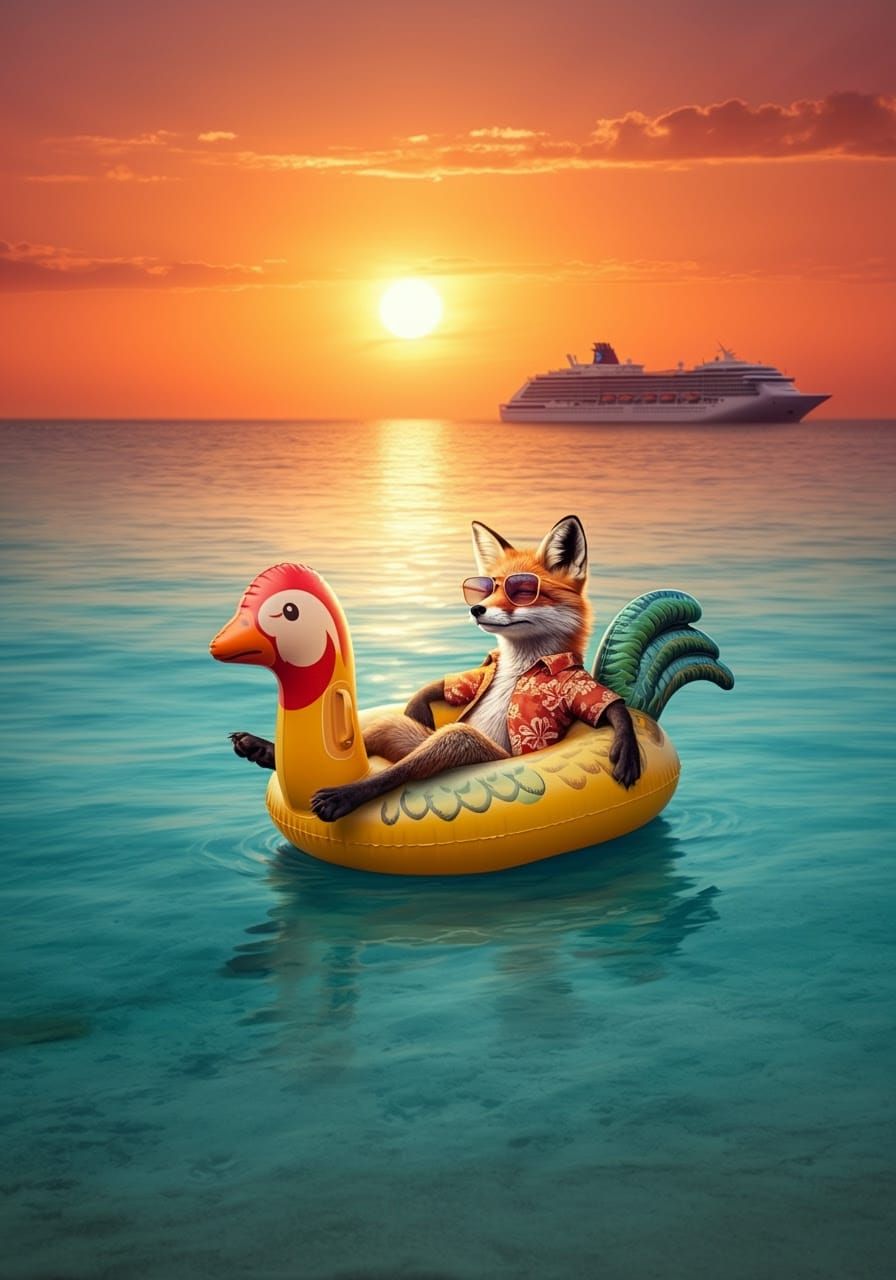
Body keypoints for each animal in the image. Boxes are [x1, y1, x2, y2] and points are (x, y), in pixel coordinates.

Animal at [230, 515, 642, 820]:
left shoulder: (569, 680)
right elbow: (463, 681)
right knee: (386, 733)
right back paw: (265, 751)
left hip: (470, 745)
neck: (517, 670)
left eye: (522, 591)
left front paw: (625, 742)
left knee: (415, 760)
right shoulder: (484, 673)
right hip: (405, 733)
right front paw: (420, 700)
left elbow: (602, 702)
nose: (476, 608)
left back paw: (344, 795)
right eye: (484, 587)